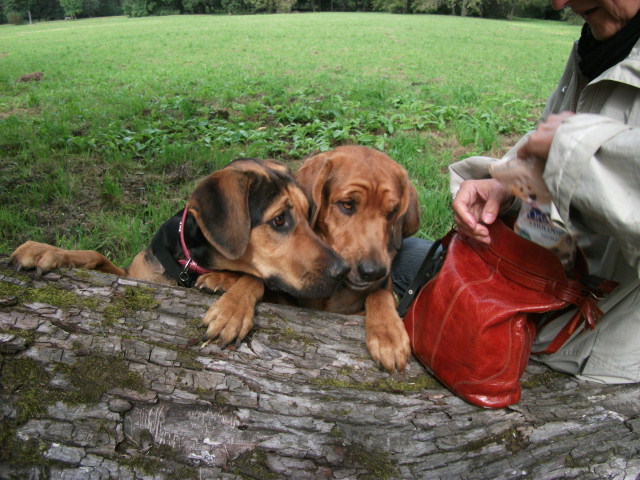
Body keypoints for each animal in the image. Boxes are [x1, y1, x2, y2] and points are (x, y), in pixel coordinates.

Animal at [10, 159, 348, 346]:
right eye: (279, 220)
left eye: (308, 214)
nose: (342, 271)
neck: (192, 263)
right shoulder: (136, 275)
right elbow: (97, 255)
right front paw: (45, 251)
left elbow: (257, 279)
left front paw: (231, 309)